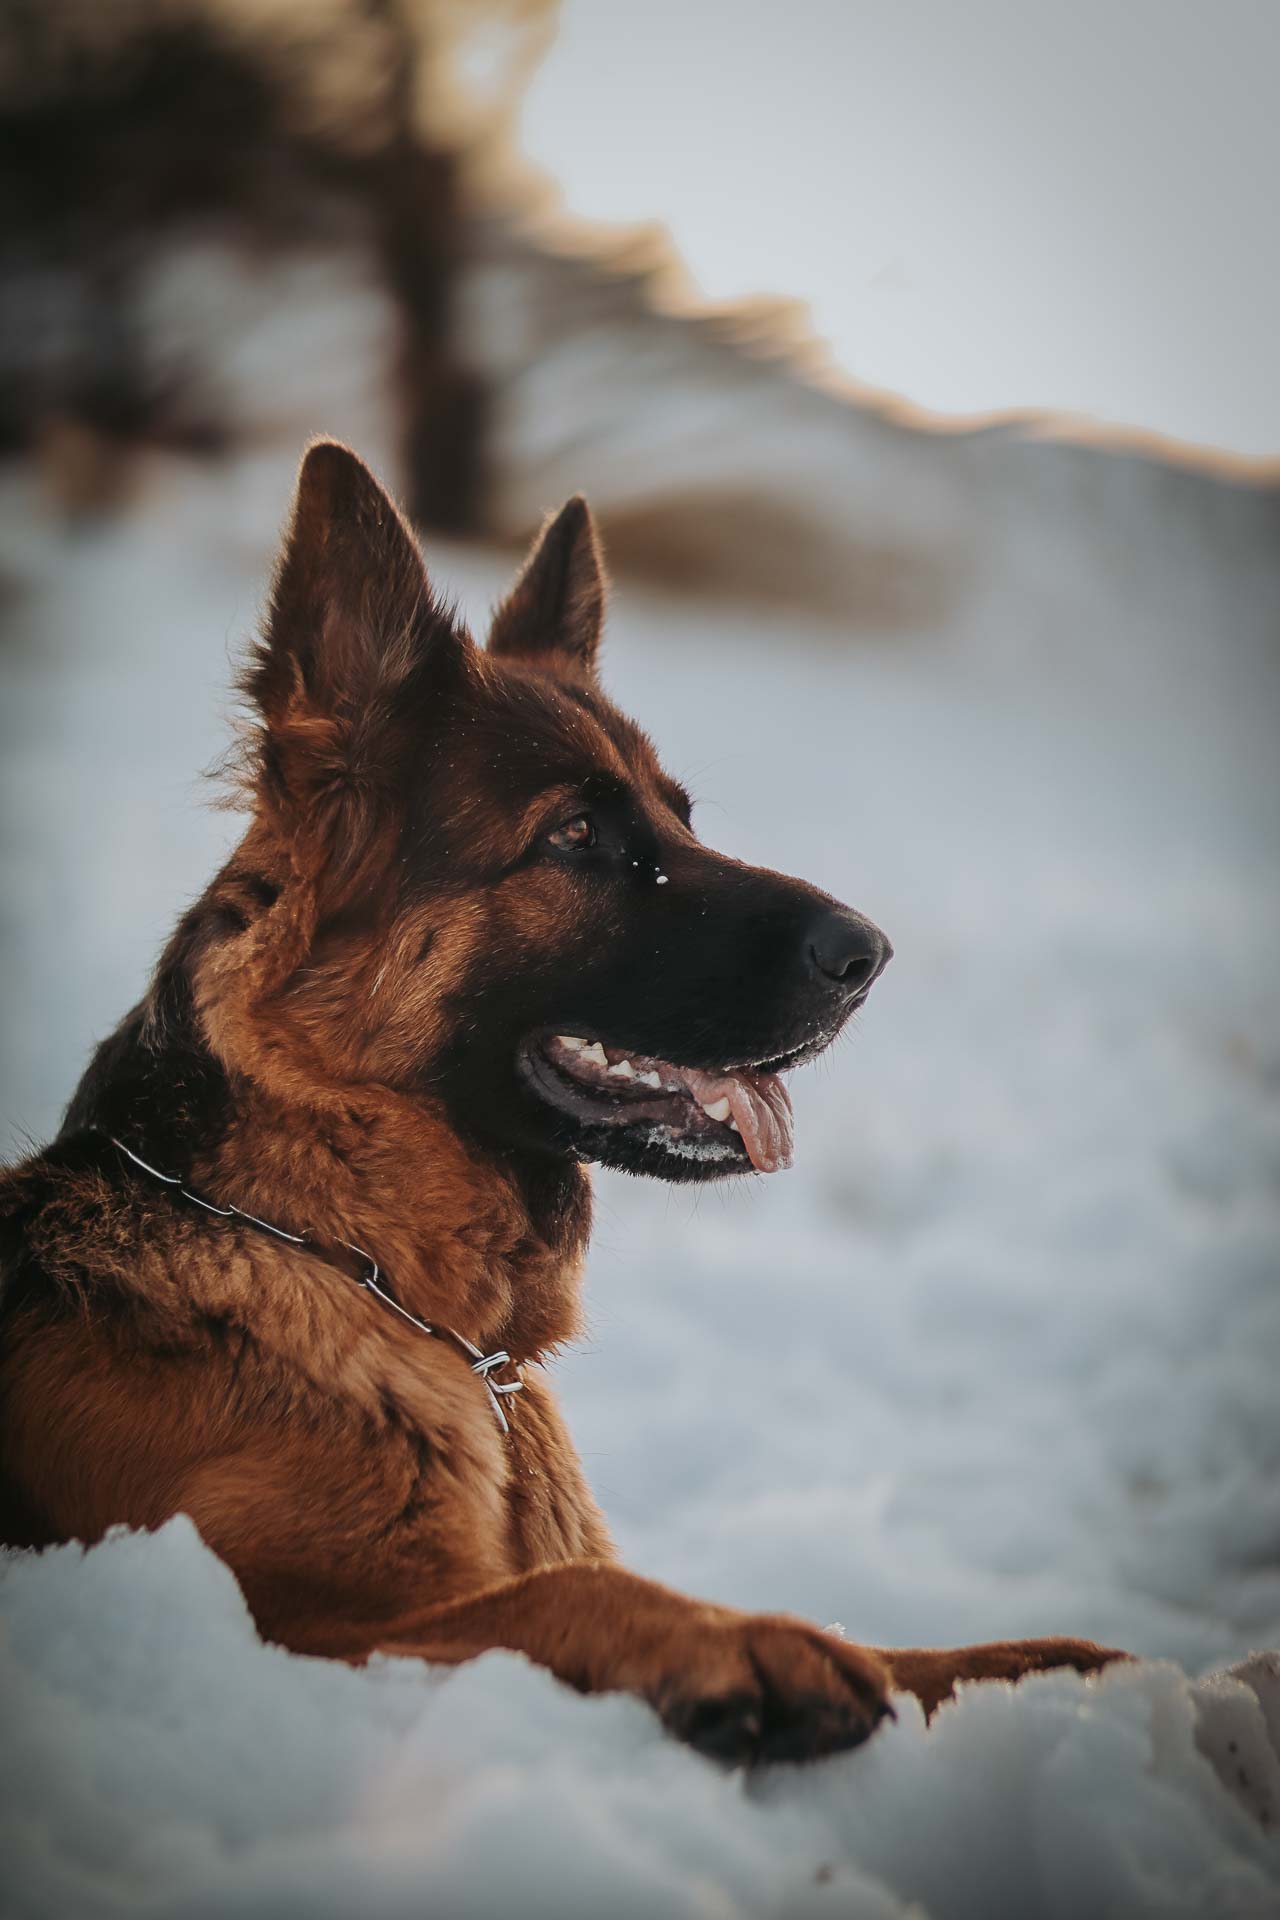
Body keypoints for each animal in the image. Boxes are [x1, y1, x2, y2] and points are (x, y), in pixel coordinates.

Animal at [0, 441, 1120, 1758]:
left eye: (681, 818)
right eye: (576, 834)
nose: (870, 954)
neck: (350, 1262)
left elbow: (903, 1651)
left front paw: (1061, 1674)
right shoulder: (287, 1629)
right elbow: (567, 1589)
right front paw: (740, 1641)